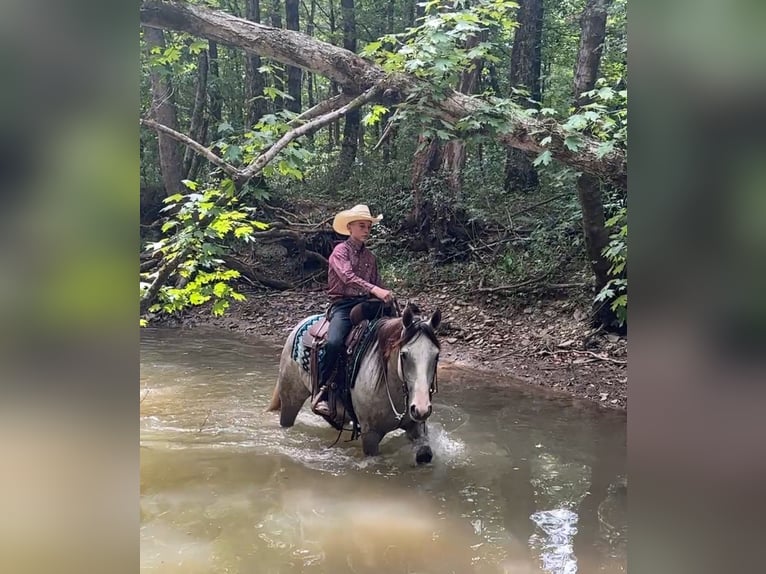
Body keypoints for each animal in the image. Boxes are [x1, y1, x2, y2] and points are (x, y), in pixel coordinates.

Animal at [266, 303, 442, 464]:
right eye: (404, 355)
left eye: (436, 356)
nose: (421, 409)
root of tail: (300, 325)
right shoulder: (370, 435)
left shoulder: (415, 426)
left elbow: (425, 454)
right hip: (290, 400)